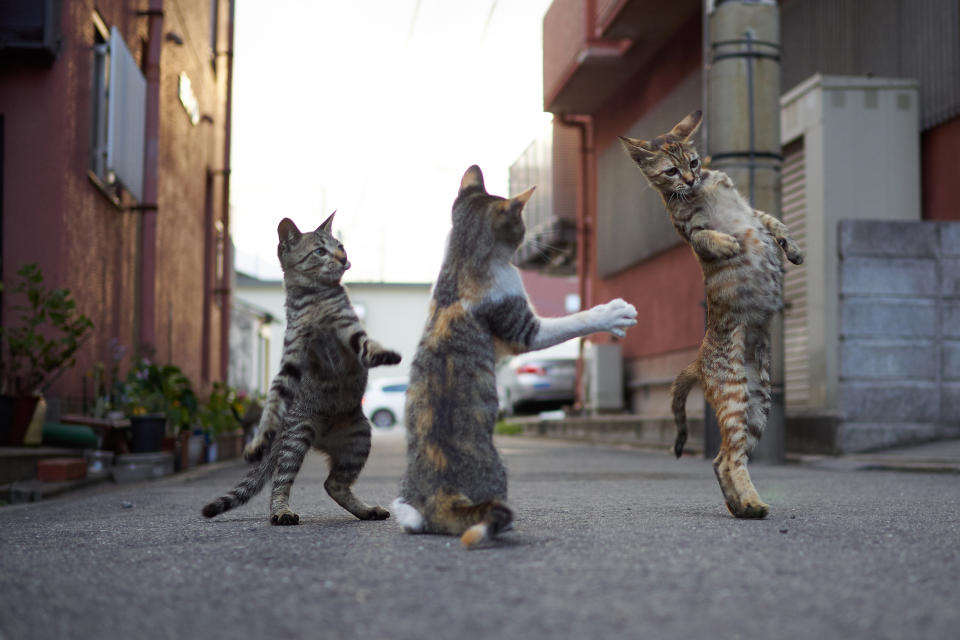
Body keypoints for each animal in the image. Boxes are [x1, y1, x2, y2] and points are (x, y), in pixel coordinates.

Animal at [201, 214, 400, 524]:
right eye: (320, 251)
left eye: (340, 246)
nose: (343, 258)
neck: (315, 298)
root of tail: (321, 438)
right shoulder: (292, 359)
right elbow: (272, 401)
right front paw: (258, 440)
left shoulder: (350, 332)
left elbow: (367, 345)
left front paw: (385, 354)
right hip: (297, 439)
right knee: (282, 482)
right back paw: (281, 512)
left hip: (358, 439)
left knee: (333, 484)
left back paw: (368, 510)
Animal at [390, 164, 636, 544]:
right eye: (520, 223)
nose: (528, 240)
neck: (460, 262)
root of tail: (441, 496)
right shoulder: (519, 326)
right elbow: (572, 321)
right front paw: (611, 313)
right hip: (499, 472)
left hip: (405, 495)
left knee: (411, 518)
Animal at [620, 110, 808, 520]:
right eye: (671, 171)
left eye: (693, 163)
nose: (691, 179)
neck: (699, 191)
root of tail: (698, 360)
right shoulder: (687, 231)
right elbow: (705, 236)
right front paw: (731, 243)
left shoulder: (751, 210)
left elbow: (772, 221)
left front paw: (792, 249)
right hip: (736, 396)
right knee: (727, 459)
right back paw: (750, 504)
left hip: (759, 404)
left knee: (725, 458)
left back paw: (741, 505)